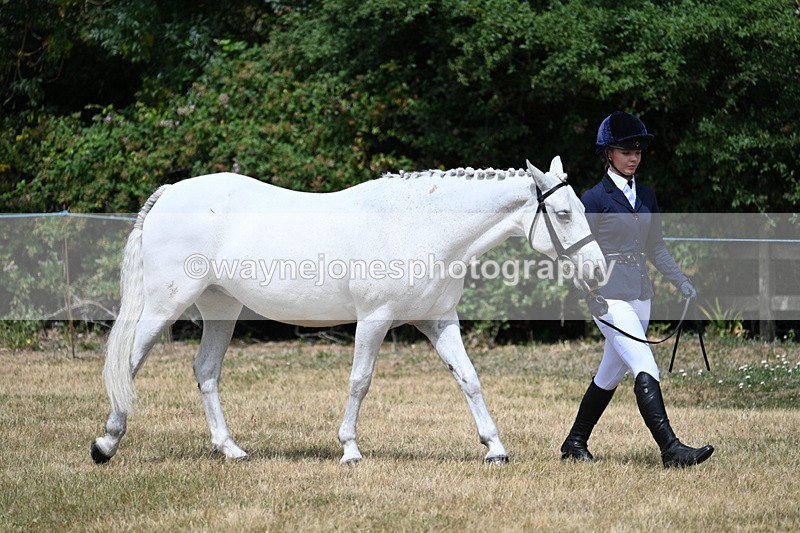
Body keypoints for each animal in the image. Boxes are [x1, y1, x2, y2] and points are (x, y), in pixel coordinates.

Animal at [91, 156, 606, 465]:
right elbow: (360, 381)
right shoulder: (374, 319)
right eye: (563, 214)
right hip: (166, 303)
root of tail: (172, 192)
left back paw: (231, 449)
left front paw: (494, 448)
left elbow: (469, 378)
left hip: (222, 306)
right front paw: (350, 450)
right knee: (129, 363)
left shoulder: (439, 321)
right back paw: (105, 444)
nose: (599, 271)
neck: (419, 226)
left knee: (206, 371)